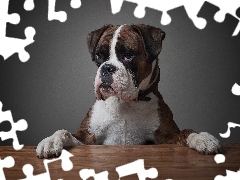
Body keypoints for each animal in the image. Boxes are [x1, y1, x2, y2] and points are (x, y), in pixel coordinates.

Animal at [36, 23, 222, 158]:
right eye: (99, 56)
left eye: (127, 55)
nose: (107, 68)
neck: (125, 104)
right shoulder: (86, 138)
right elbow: (64, 132)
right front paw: (51, 141)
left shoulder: (169, 137)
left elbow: (186, 132)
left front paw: (202, 138)